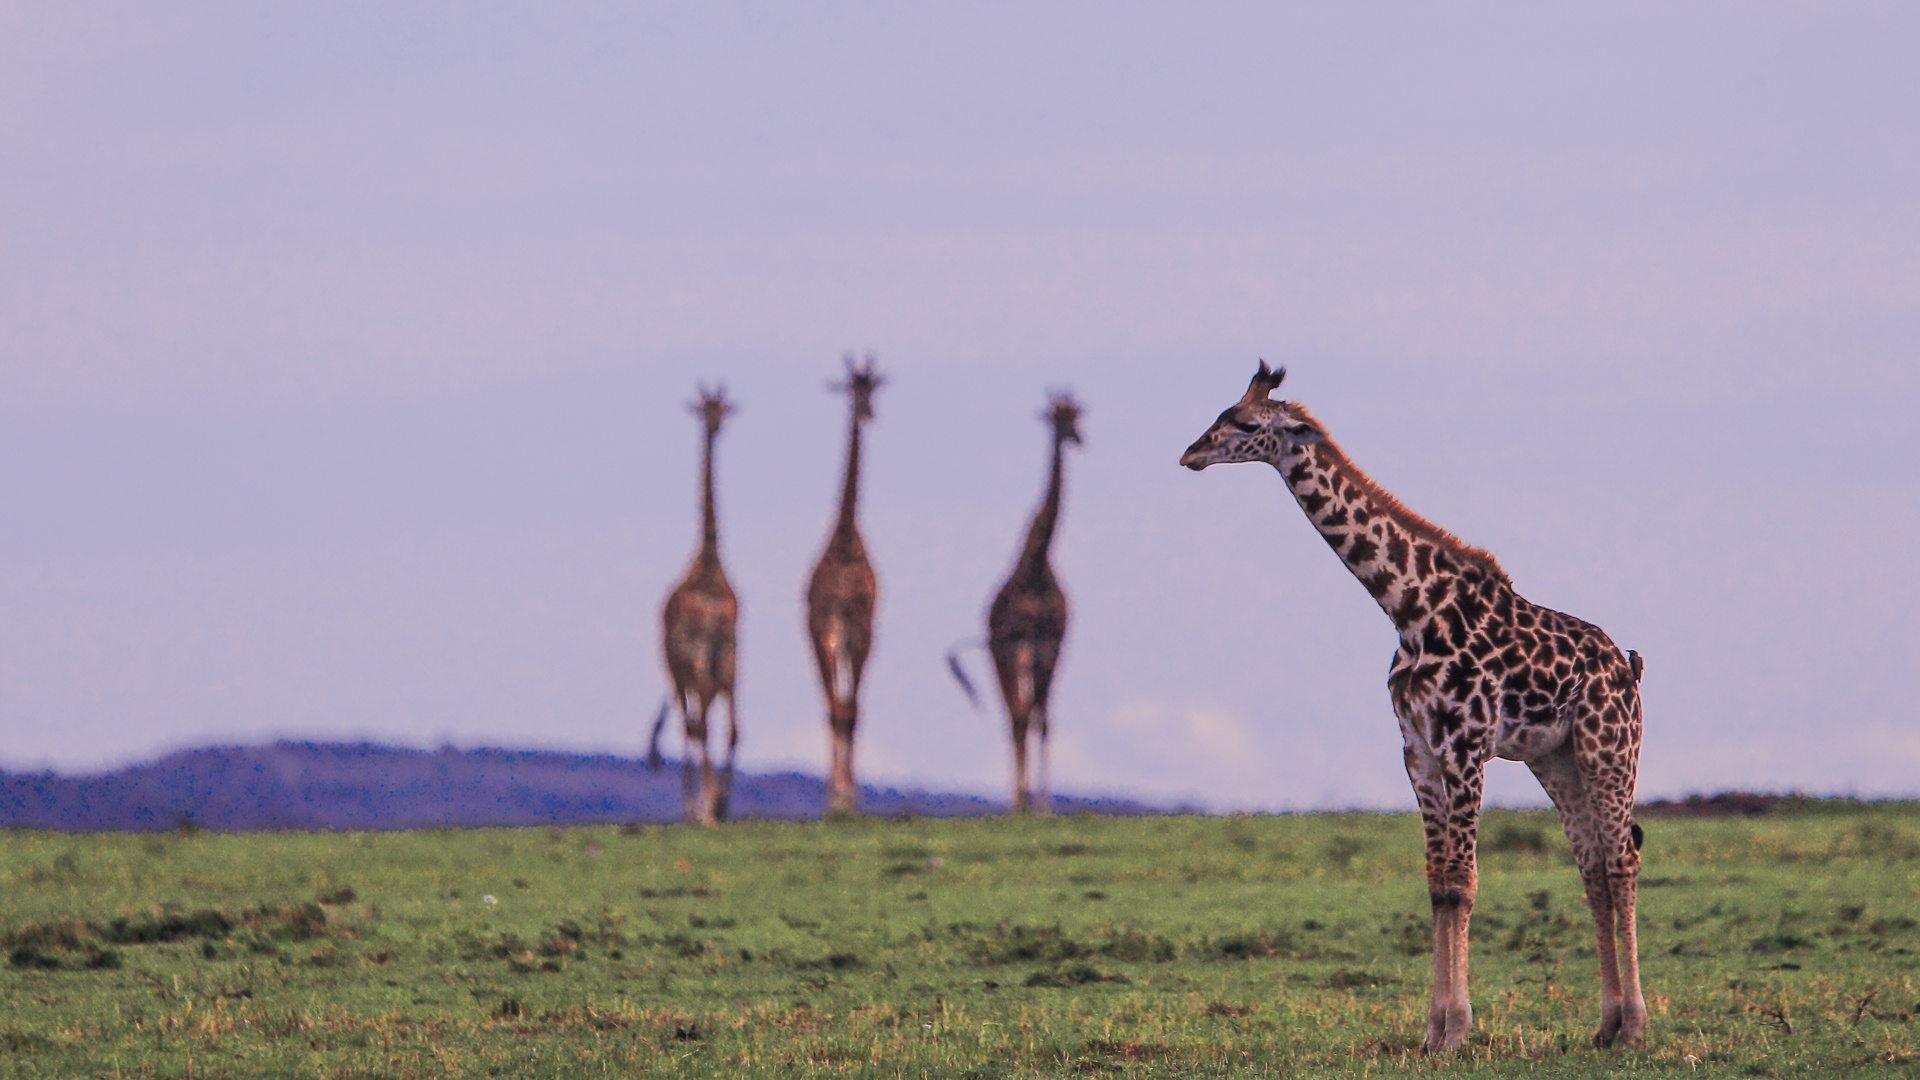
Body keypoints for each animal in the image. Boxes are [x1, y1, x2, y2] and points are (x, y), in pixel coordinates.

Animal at [1175, 357, 1643, 1045]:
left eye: (1244, 422)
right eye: (1222, 412)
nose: (1191, 454)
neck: (1409, 608)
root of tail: (1629, 665)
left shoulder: (1467, 746)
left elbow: (1465, 882)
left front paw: (1459, 1030)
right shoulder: (1417, 749)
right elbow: (1439, 886)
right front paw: (1433, 1033)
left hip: (1608, 749)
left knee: (1621, 861)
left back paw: (1635, 1024)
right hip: (1555, 760)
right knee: (1591, 867)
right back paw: (1605, 1026)